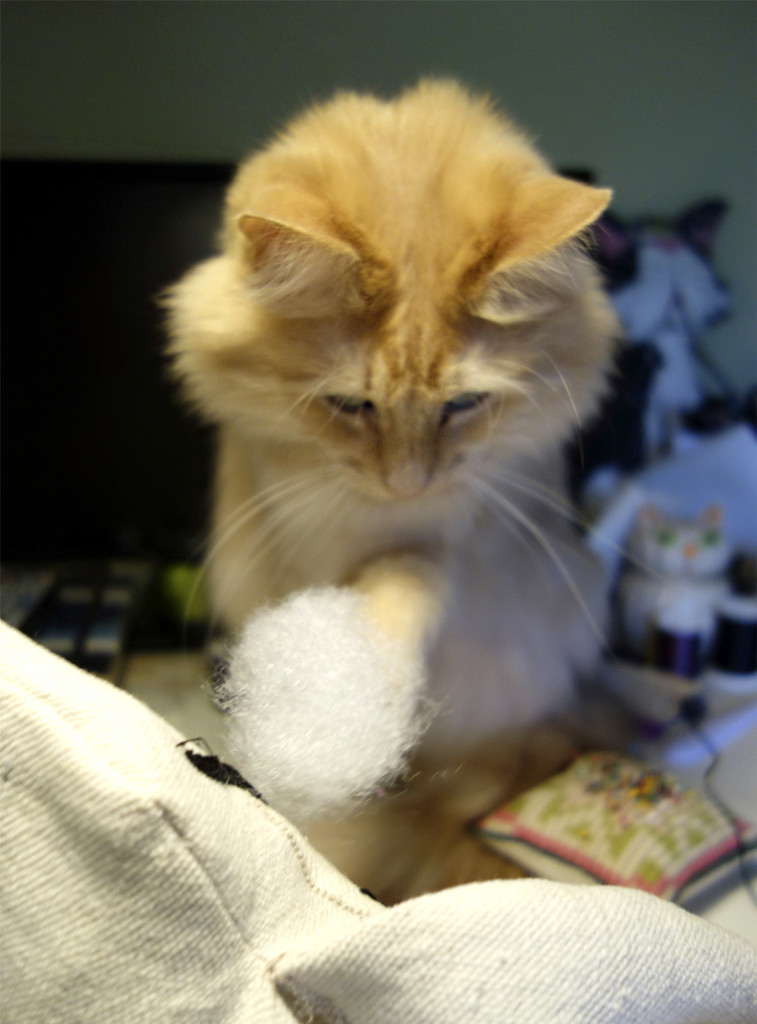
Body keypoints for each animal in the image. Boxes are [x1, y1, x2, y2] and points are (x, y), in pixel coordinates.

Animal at [162, 83, 618, 905]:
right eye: (350, 406)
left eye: (463, 406)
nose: (406, 485)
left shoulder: (463, 533)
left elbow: (409, 578)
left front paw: (366, 665)